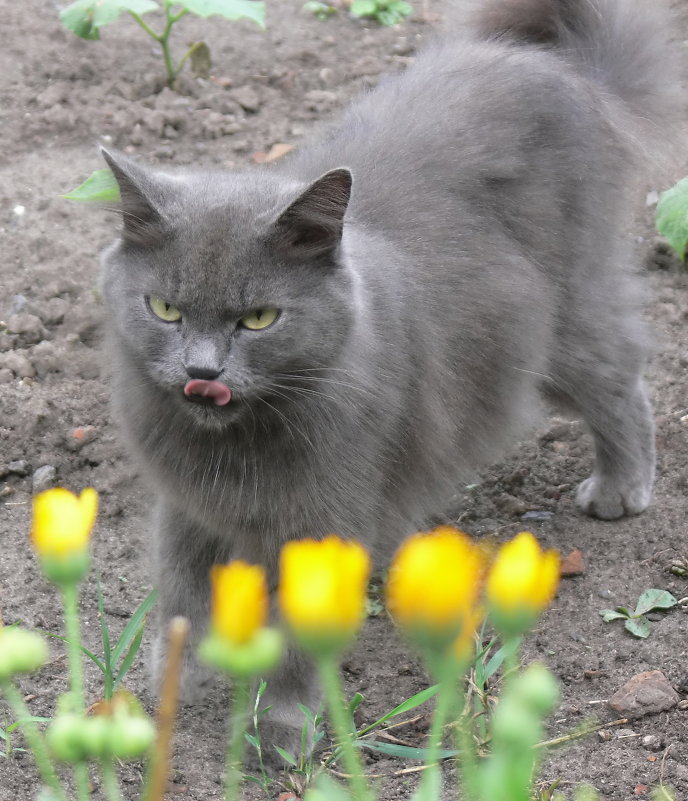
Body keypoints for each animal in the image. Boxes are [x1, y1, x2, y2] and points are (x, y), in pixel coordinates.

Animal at [101, 0, 676, 756]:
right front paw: (177, 683)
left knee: (620, 378)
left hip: (564, 323)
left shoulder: (322, 522)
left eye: (259, 318)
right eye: (164, 308)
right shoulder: (187, 505)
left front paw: (281, 725)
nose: (201, 371)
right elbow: (180, 595)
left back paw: (621, 487)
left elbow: (295, 639)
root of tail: (556, 66)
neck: (235, 444)